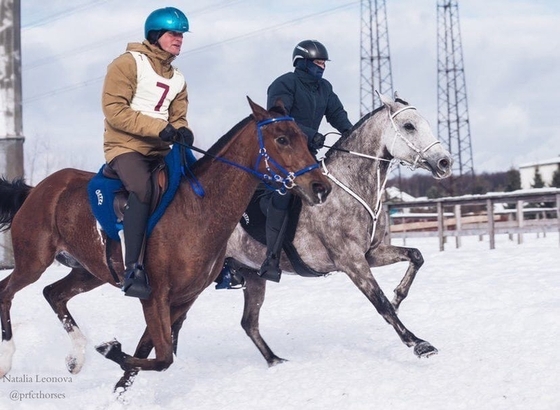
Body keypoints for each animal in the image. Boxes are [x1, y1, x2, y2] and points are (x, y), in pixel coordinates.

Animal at [0, 97, 332, 390]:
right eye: (282, 139)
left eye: (304, 139)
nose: (321, 187)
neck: (198, 210)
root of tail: (36, 189)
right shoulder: (155, 296)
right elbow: (161, 358)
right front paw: (110, 350)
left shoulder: (183, 299)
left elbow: (149, 353)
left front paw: (119, 388)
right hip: (34, 261)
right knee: (7, 291)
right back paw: (7, 361)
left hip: (89, 271)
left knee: (54, 293)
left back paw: (76, 357)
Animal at [222, 92, 450, 362]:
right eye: (409, 126)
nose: (445, 162)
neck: (349, 187)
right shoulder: (351, 261)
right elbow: (380, 302)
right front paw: (418, 343)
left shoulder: (370, 253)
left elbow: (416, 256)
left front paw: (398, 296)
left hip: (252, 275)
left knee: (249, 322)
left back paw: (276, 361)